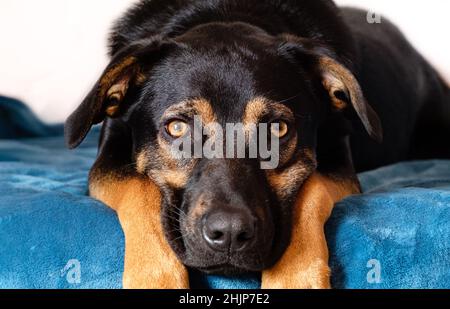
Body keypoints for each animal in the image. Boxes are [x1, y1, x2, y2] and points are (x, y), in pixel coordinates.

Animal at [64, 0, 450, 288]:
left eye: (277, 129)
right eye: (176, 128)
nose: (229, 234)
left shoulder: (337, 165)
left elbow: (310, 193)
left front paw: (295, 279)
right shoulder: (108, 158)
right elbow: (139, 191)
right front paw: (156, 279)